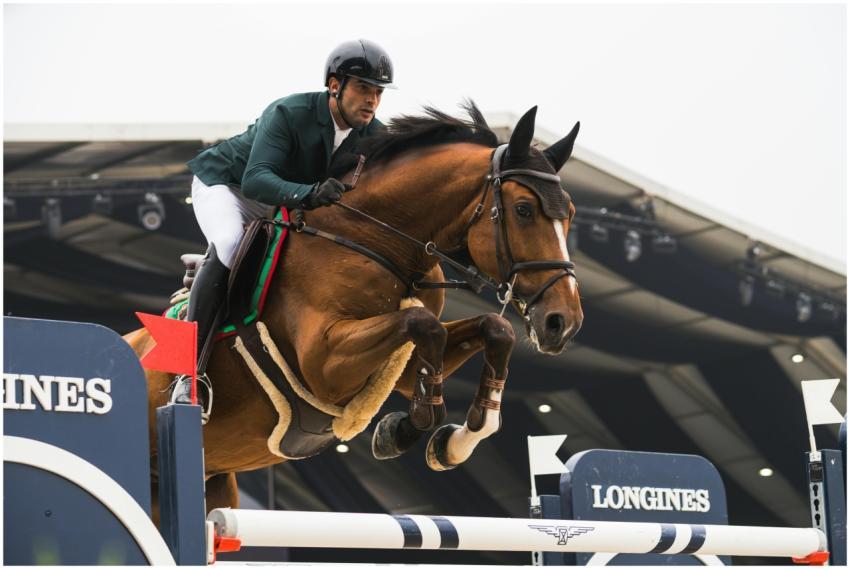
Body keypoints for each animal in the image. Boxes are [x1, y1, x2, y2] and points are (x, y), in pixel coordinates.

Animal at [124, 102, 584, 523]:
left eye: (571, 215)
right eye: (523, 210)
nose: (564, 322)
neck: (375, 239)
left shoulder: (402, 365)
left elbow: (493, 328)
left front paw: (454, 441)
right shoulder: (323, 364)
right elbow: (423, 324)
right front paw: (404, 430)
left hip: (216, 485)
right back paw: (188, 389)